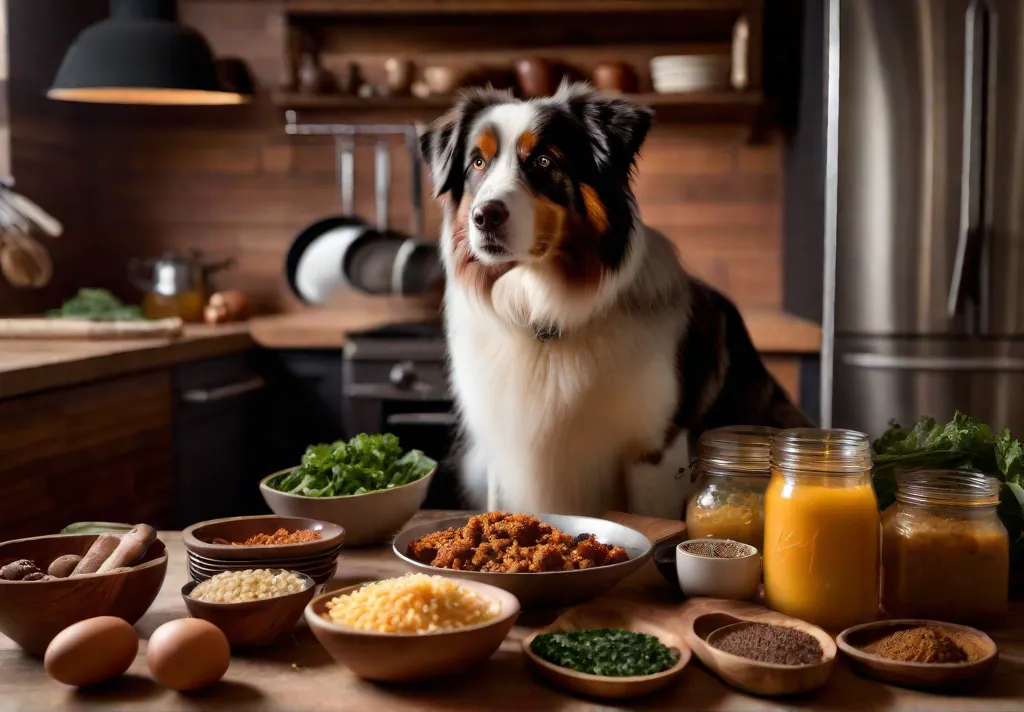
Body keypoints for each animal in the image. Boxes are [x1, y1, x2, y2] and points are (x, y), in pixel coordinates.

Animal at [415, 83, 806, 518]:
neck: (543, 311)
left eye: (545, 160)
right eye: (478, 163)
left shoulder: (654, 450)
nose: (484, 217)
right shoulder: (504, 446)